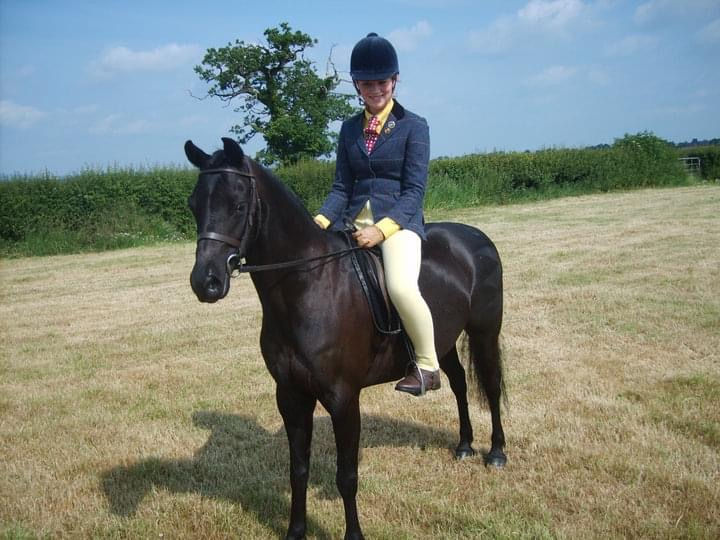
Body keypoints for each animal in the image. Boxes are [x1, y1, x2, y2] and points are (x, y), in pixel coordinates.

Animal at [184, 137, 506, 540]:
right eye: (194, 205)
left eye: (238, 204)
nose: (206, 282)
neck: (308, 285)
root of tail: (477, 238)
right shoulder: (290, 395)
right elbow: (298, 470)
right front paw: (295, 531)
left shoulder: (343, 398)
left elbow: (346, 476)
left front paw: (353, 534)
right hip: (442, 340)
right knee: (459, 383)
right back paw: (463, 445)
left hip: (484, 331)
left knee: (491, 386)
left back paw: (496, 453)